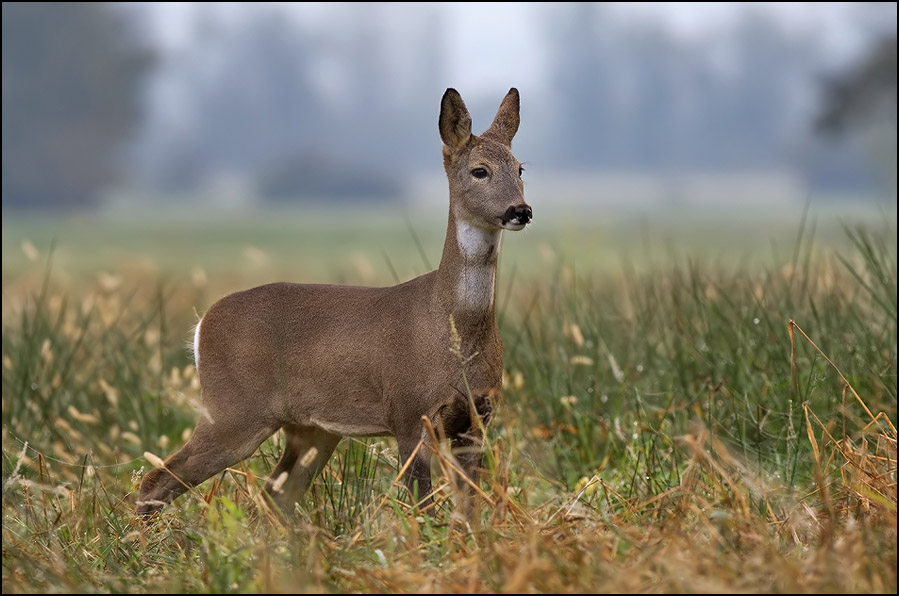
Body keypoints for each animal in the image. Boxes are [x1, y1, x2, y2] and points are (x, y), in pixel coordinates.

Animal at [137, 87, 532, 516]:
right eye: (479, 170)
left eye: (520, 169)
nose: (520, 210)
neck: (450, 325)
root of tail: (201, 324)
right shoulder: (409, 413)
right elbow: (422, 507)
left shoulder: (477, 420)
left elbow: (470, 511)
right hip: (232, 411)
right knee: (155, 480)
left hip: (310, 429)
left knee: (274, 495)